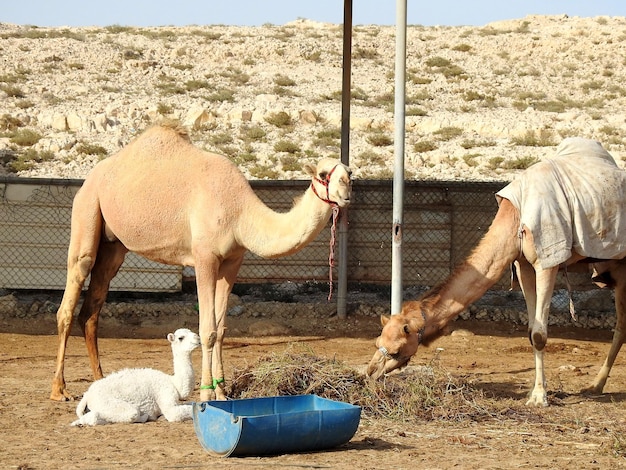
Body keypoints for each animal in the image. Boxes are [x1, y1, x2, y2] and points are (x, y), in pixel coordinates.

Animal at [50, 123, 352, 402]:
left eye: (350, 174)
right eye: (324, 175)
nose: (346, 192)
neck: (240, 212)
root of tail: (89, 178)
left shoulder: (232, 261)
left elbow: (221, 329)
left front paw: (222, 392)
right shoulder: (204, 257)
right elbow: (207, 330)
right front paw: (206, 394)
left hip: (114, 246)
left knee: (92, 308)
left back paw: (101, 381)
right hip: (87, 209)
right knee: (71, 292)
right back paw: (59, 390)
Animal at [70, 330, 199, 426]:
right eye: (181, 338)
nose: (198, 338)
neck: (174, 383)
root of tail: (87, 395)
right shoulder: (165, 395)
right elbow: (175, 414)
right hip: (106, 402)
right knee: (129, 413)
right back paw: (146, 416)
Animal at [366, 138, 624, 406]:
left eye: (396, 350)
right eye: (377, 341)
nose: (370, 372)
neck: (514, 218)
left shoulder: (547, 260)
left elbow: (540, 334)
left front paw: (539, 397)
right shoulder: (522, 264)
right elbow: (531, 332)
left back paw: (596, 385)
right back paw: (595, 386)